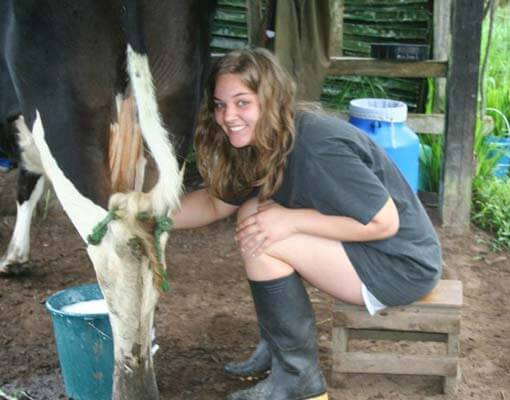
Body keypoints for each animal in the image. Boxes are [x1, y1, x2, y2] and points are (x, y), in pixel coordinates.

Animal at [0, 1, 216, 398]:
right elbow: (28, 183)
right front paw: (16, 256)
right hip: (174, 102)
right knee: (151, 240)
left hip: (65, 114)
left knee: (120, 256)